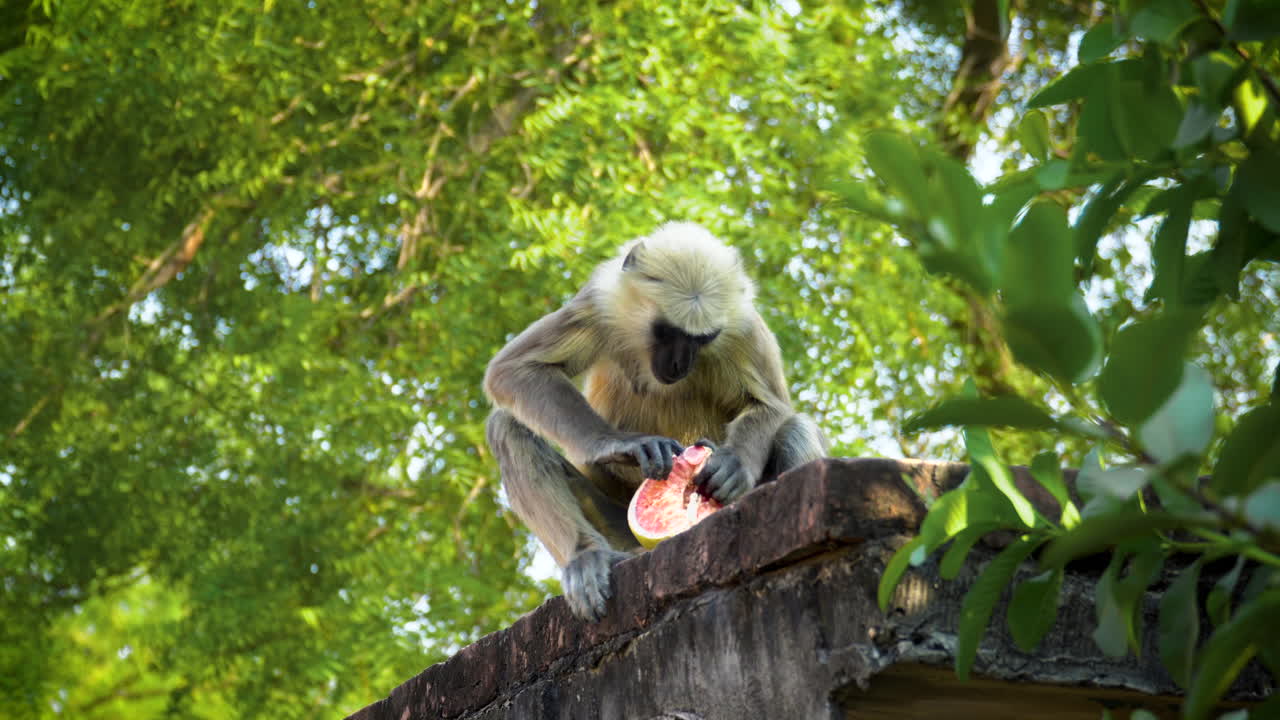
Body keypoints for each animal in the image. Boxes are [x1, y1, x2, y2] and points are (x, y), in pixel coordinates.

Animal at [483, 222, 829, 622]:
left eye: (702, 339)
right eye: (666, 332)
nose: (679, 364)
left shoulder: (742, 328)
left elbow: (772, 406)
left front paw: (735, 465)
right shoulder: (600, 300)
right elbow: (514, 369)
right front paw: (617, 444)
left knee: (796, 427)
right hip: (620, 531)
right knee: (507, 426)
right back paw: (586, 555)